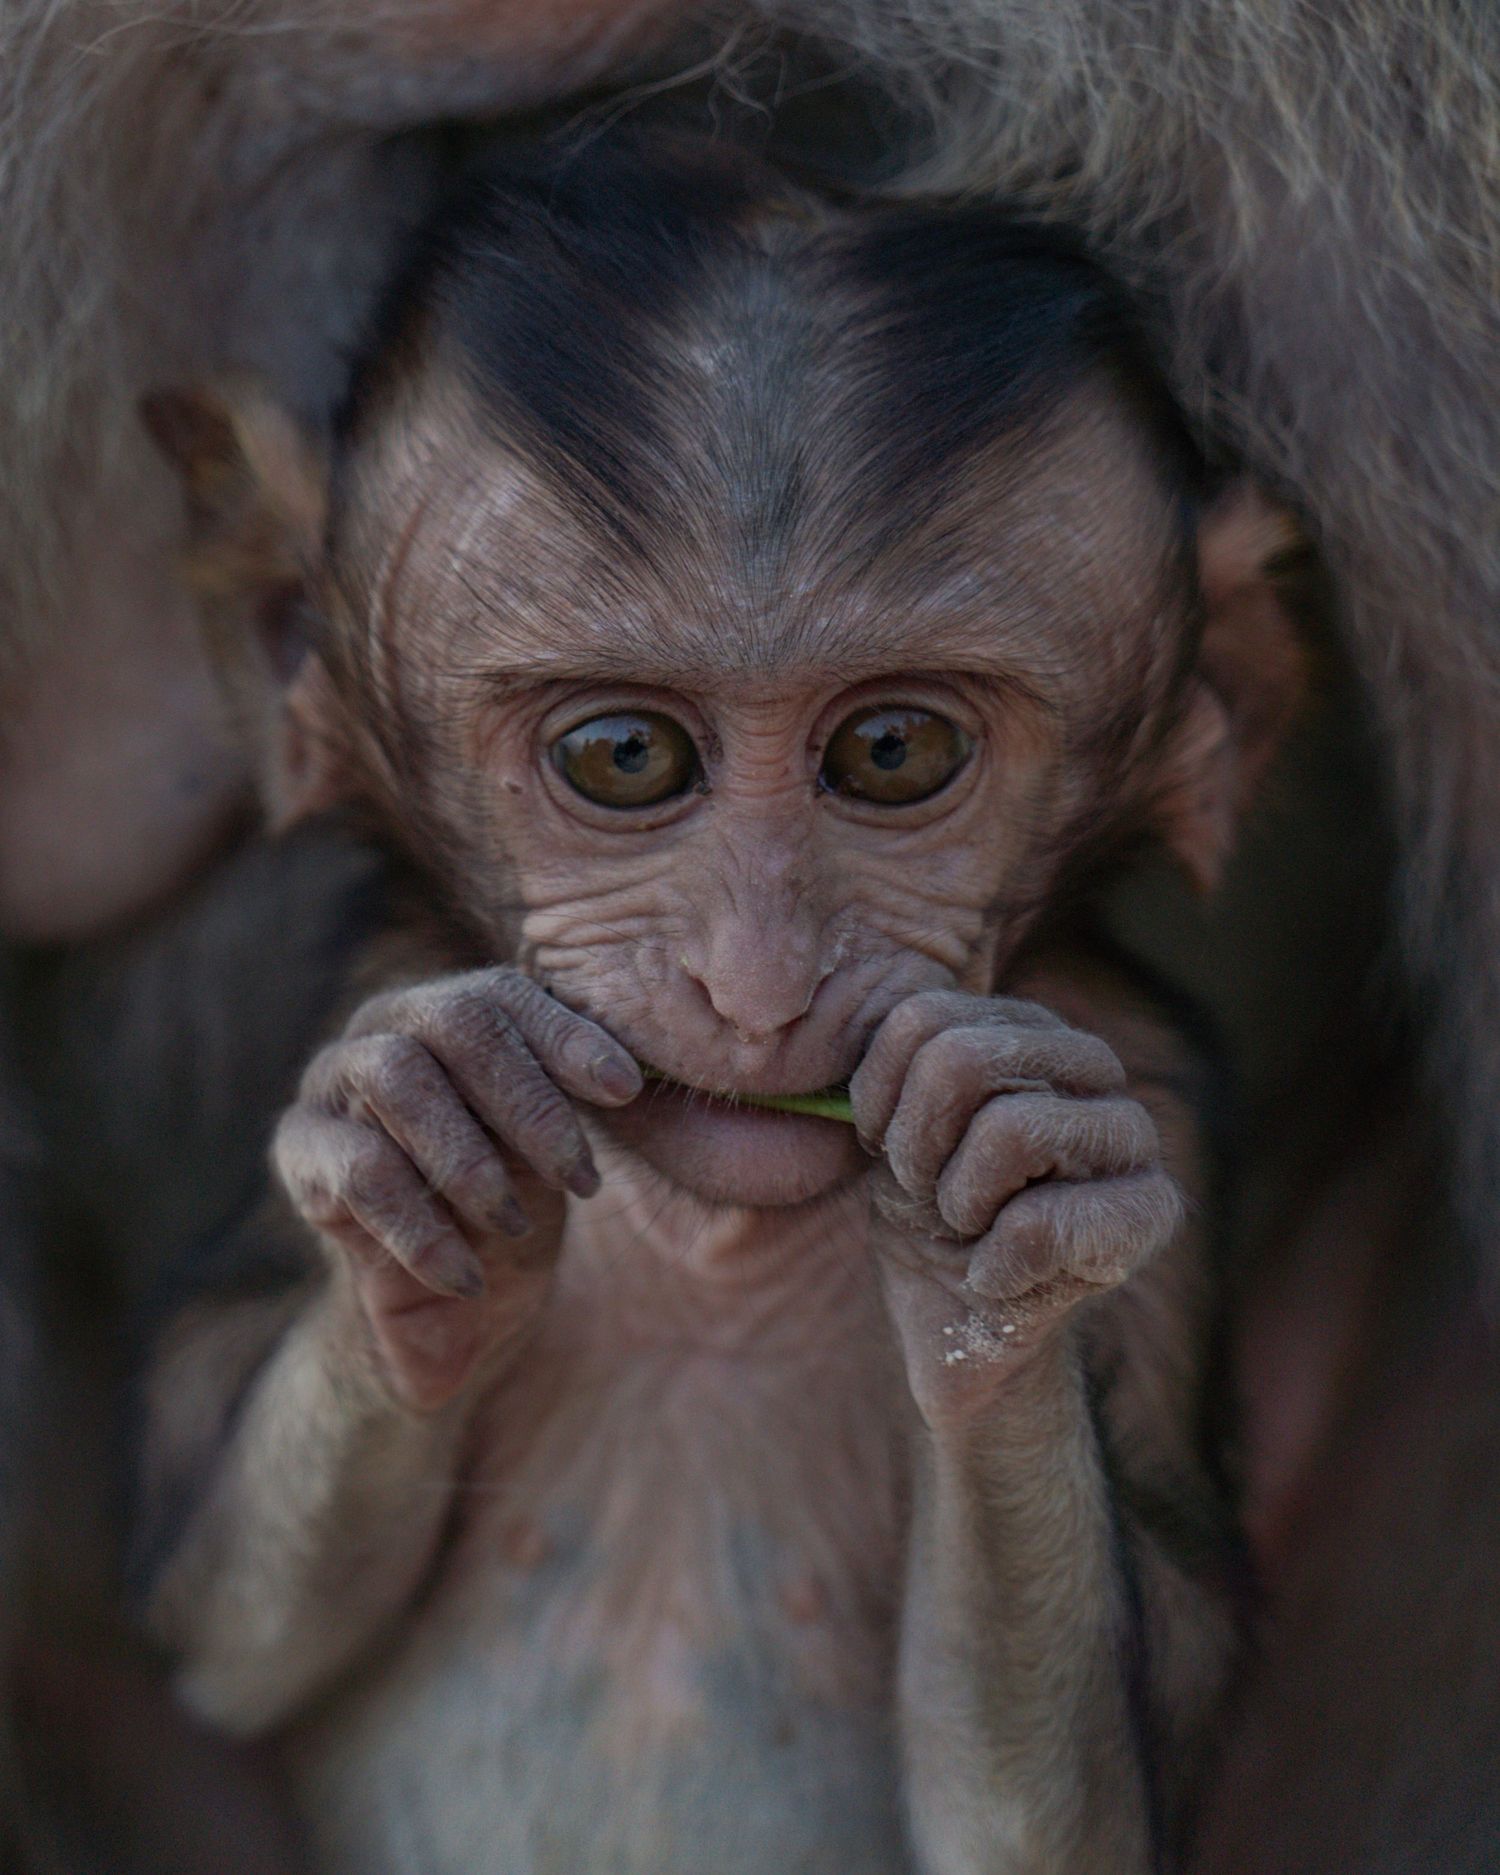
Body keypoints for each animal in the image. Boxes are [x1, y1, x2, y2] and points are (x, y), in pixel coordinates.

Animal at [0, 4, 1492, 1869]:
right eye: (625, 758)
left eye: (894, 752)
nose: (760, 982)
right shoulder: (383, 969)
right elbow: (228, 1622)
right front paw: (423, 1162)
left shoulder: (1152, 1084)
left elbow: (1059, 1814)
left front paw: (1000, 1243)